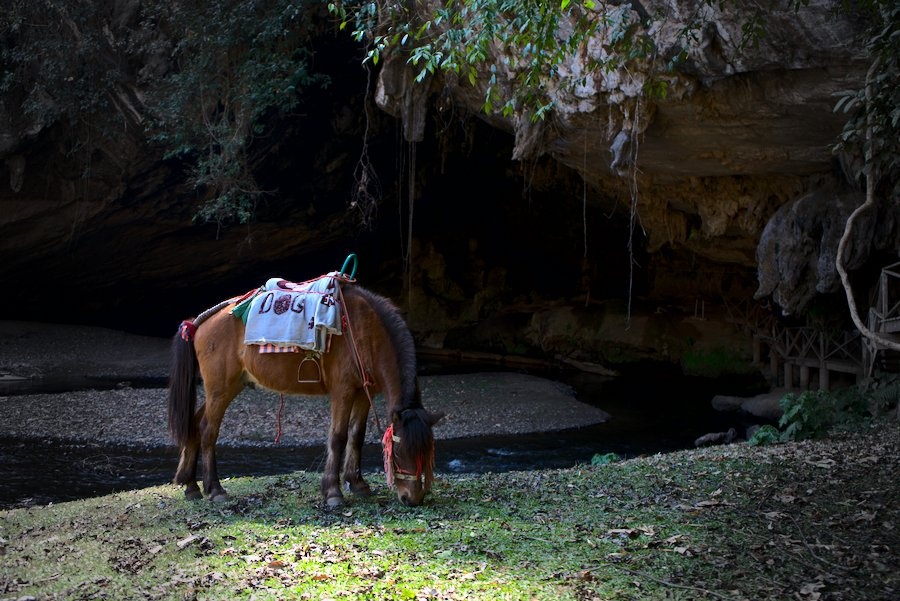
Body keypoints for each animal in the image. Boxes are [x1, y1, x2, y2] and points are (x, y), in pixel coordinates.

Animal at [165, 278, 442, 506]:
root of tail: (200, 322)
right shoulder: (343, 391)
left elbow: (357, 436)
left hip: (227, 388)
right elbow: (338, 437)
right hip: (220, 389)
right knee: (208, 431)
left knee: (194, 424)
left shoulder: (365, 393)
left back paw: (191, 485)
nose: (413, 497)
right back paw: (215, 489)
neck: (366, 332)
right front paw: (333, 492)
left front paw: (358, 484)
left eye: (428, 452)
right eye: (400, 452)